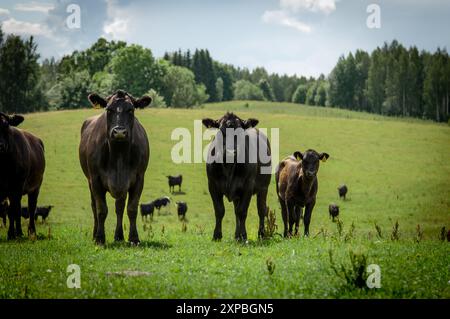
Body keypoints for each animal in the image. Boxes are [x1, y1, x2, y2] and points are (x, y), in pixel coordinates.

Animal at [0, 112, 45, 240]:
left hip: (34, 188)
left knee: (30, 208)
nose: (0, 146)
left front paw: (12, 234)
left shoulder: (16, 186)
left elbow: (13, 211)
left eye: (6, 125)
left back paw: (30, 231)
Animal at [80, 90, 152, 245]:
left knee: (119, 207)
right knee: (94, 206)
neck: (118, 153)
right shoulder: (95, 179)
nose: (119, 132)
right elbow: (101, 209)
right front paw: (100, 238)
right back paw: (95, 234)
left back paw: (119, 236)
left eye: (131, 109)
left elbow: (131, 209)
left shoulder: (138, 179)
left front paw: (134, 238)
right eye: (109, 109)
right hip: (89, 181)